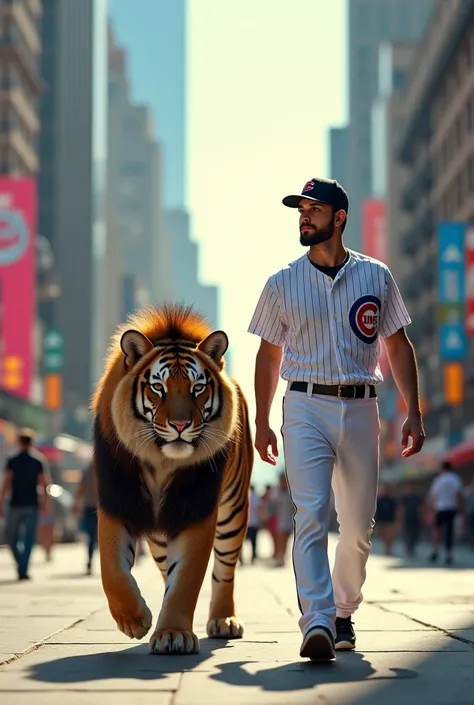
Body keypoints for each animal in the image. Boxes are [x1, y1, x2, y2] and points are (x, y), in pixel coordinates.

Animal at [90, 302, 252, 656]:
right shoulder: (116, 500)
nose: (179, 425)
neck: (161, 460)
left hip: (232, 512)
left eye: (197, 388)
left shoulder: (195, 509)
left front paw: (174, 633)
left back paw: (224, 621)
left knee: (224, 570)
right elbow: (112, 569)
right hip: (161, 536)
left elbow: (187, 579)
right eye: (158, 388)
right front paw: (134, 620)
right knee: (166, 569)